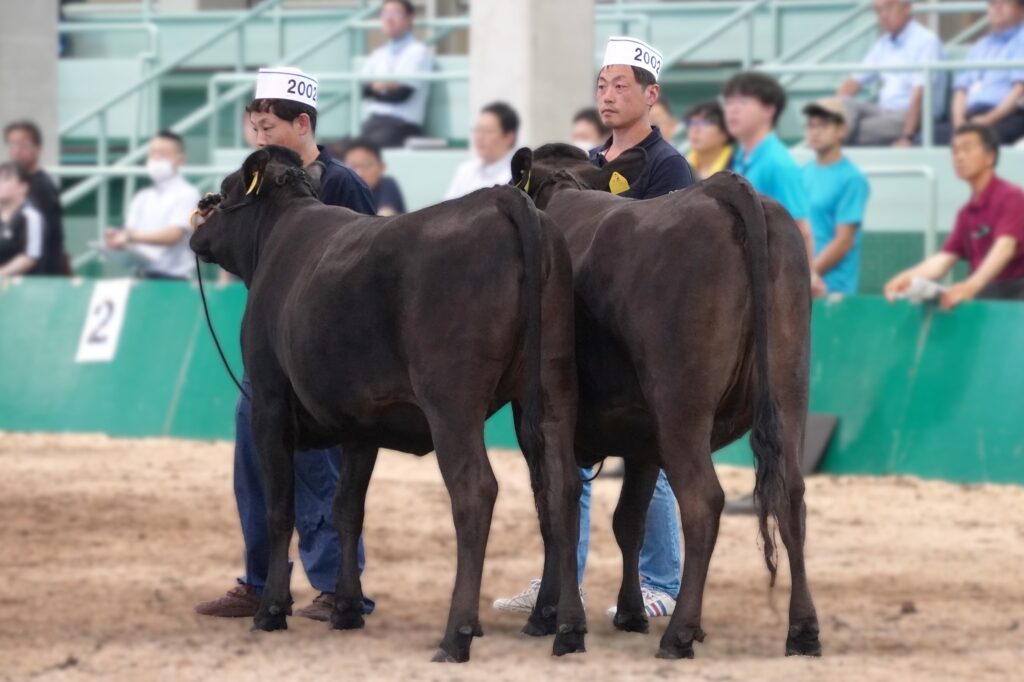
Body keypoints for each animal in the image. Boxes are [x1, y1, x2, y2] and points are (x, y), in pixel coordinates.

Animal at [192, 144, 589, 659]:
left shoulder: (269, 402)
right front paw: (345, 609)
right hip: (552, 390)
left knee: (475, 491)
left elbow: (281, 510)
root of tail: (502, 199)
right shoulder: (360, 423)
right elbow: (346, 509)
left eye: (223, 191)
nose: (198, 223)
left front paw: (272, 610)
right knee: (561, 488)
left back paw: (457, 633)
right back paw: (564, 626)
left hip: (452, 403)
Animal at [507, 144, 819, 659]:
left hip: (681, 409)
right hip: (787, 393)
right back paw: (803, 631)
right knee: (790, 494)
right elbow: (629, 520)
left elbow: (554, 509)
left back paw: (680, 634)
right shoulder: (641, 437)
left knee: (703, 501)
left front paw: (549, 616)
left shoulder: (539, 418)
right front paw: (631, 611)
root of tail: (723, 189)